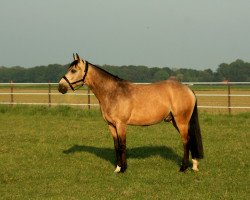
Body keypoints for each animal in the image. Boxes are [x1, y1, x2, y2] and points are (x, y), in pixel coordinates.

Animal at [58, 54, 203, 173]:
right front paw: (117, 168)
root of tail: (188, 89)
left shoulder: (121, 124)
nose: (60, 87)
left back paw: (183, 167)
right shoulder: (111, 125)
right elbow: (116, 146)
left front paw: (123, 169)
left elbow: (122, 145)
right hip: (175, 121)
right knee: (190, 140)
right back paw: (194, 165)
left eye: (73, 70)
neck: (112, 92)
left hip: (181, 121)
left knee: (186, 141)